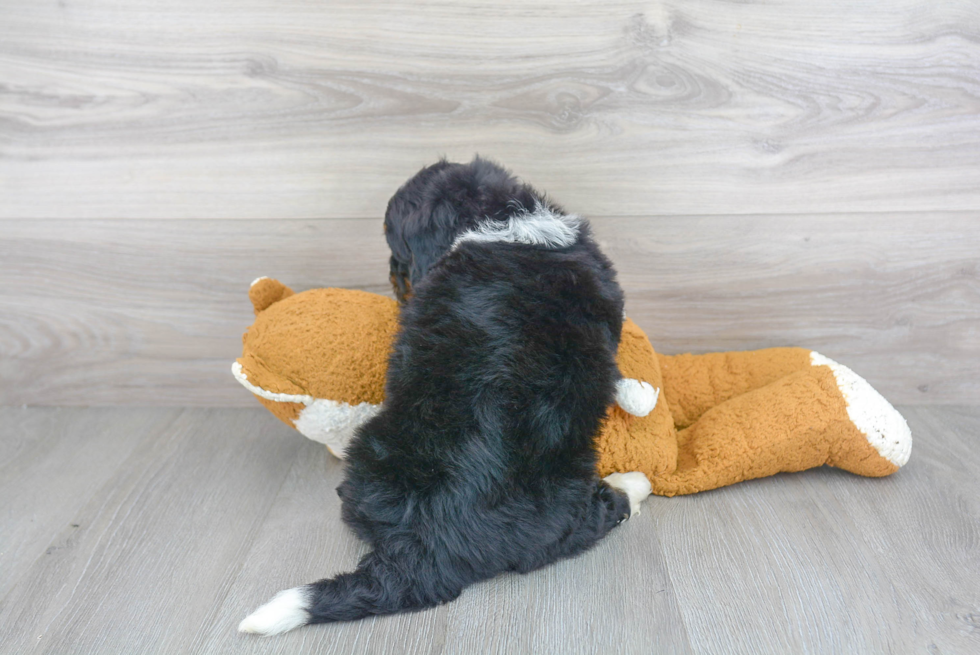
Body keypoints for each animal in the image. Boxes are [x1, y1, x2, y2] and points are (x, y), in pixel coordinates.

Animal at [238, 156, 656, 632]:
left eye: (396, 246)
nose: (394, 277)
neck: (501, 220)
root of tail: (431, 542)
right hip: (560, 503)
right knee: (597, 517)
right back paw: (633, 483)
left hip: (374, 457)